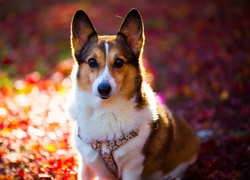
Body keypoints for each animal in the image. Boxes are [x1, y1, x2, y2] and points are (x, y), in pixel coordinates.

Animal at [67, 8, 200, 180]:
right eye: (91, 62)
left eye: (119, 62)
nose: (103, 89)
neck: (105, 110)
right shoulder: (85, 163)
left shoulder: (133, 166)